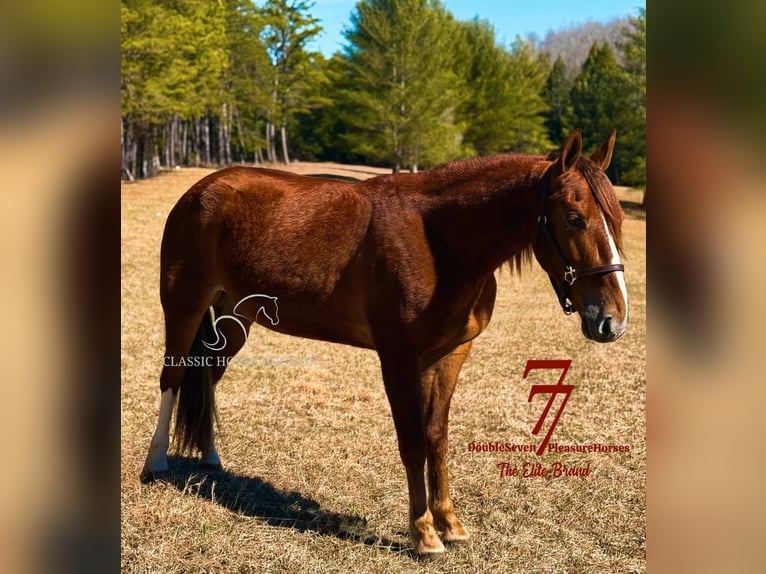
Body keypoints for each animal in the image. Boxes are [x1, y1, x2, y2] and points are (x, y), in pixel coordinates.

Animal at [140, 130, 632, 560]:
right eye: (574, 219)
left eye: (619, 219)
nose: (612, 320)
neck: (438, 241)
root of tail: (201, 189)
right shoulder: (398, 357)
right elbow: (412, 441)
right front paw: (423, 534)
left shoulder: (449, 356)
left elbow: (437, 438)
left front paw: (451, 525)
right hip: (183, 306)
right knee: (173, 377)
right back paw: (155, 463)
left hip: (236, 318)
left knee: (208, 377)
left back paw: (210, 457)